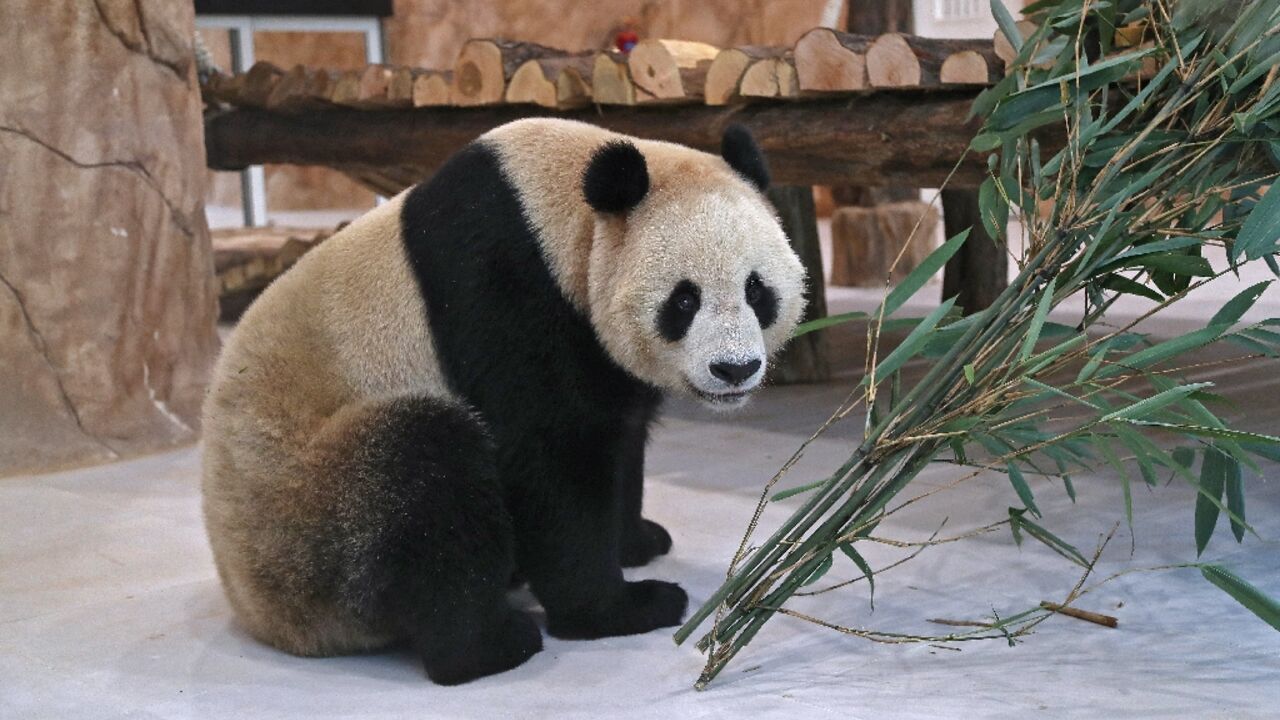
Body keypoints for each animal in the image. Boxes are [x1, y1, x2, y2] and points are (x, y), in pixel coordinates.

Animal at [201, 118, 806, 685]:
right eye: (684, 300)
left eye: (756, 290)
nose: (735, 369)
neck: (560, 219)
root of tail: (258, 613)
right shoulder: (503, 289)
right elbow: (549, 457)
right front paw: (620, 608)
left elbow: (619, 431)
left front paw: (636, 540)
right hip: (307, 510)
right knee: (421, 479)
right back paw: (490, 645)